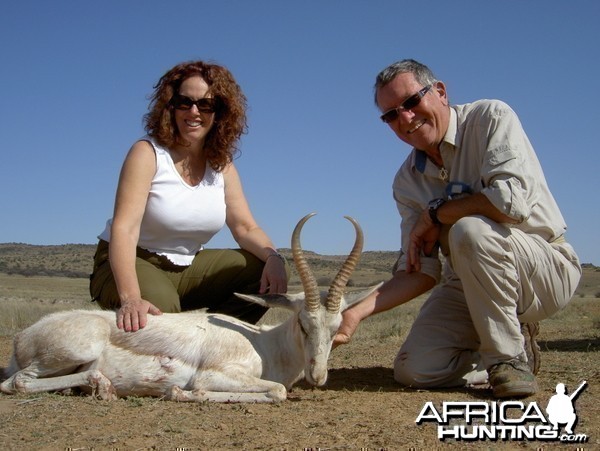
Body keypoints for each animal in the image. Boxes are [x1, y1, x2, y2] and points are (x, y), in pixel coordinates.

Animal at [0, 214, 378, 404]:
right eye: (302, 323)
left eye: (337, 328)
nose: (318, 375)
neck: (265, 346)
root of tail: (22, 337)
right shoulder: (216, 374)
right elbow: (277, 390)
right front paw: (182, 391)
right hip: (75, 350)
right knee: (14, 384)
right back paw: (102, 387)